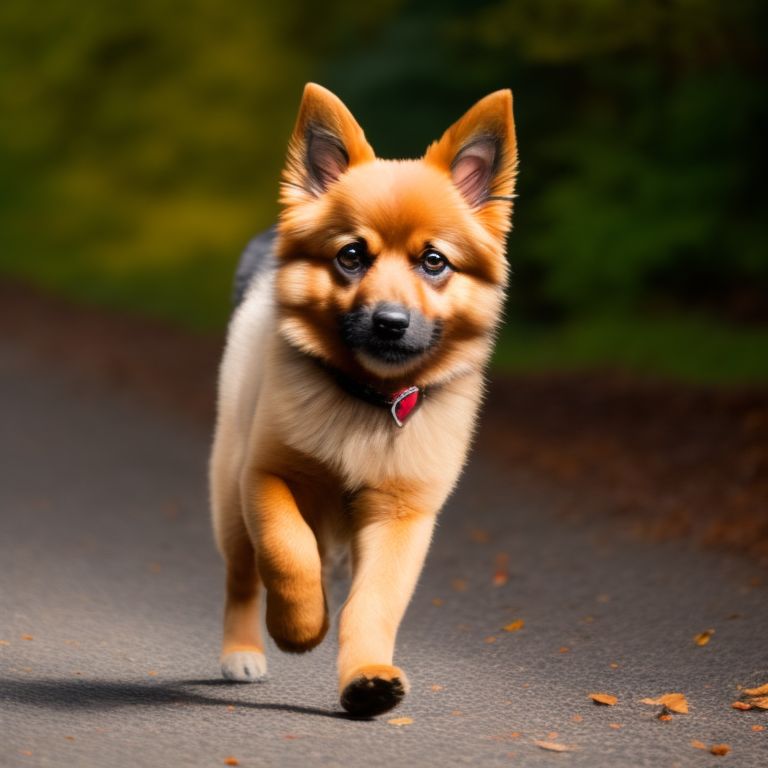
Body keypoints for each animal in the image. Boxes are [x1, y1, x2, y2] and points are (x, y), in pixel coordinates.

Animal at [210, 81, 516, 716]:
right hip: (226, 491)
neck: (371, 399)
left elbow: (373, 604)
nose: (391, 323)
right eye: (351, 255)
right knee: (243, 576)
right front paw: (300, 626)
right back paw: (243, 650)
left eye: (434, 261)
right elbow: (288, 552)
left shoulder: (401, 516)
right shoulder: (266, 477)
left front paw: (367, 678)